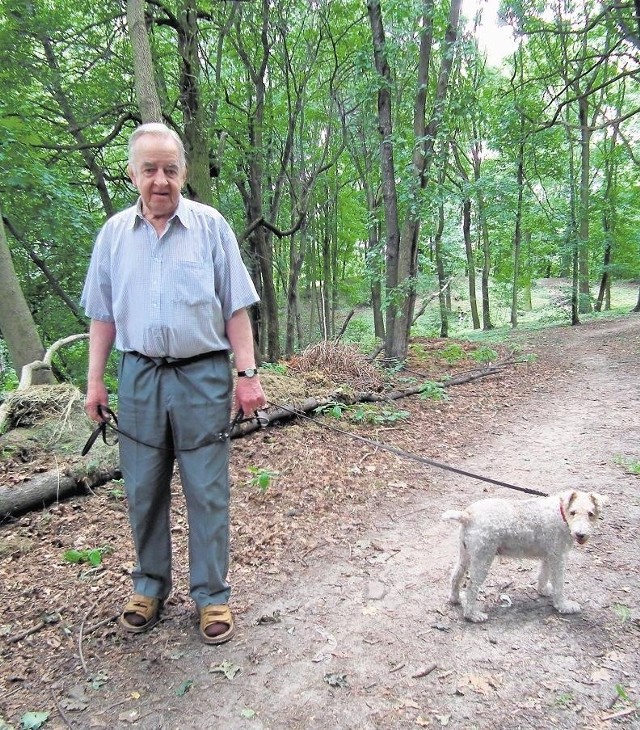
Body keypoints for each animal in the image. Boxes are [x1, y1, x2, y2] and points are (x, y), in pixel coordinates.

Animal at [442, 490, 608, 620]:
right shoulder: (558, 558)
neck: (561, 514)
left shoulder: (549, 556)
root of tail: (467, 515)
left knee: (455, 576)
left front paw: (543, 591)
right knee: (471, 588)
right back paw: (473, 615)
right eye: (572, 512)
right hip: (482, 559)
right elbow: (559, 584)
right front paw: (564, 605)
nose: (580, 534)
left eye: (591, 514)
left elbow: (543, 575)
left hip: (466, 555)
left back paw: (455, 599)